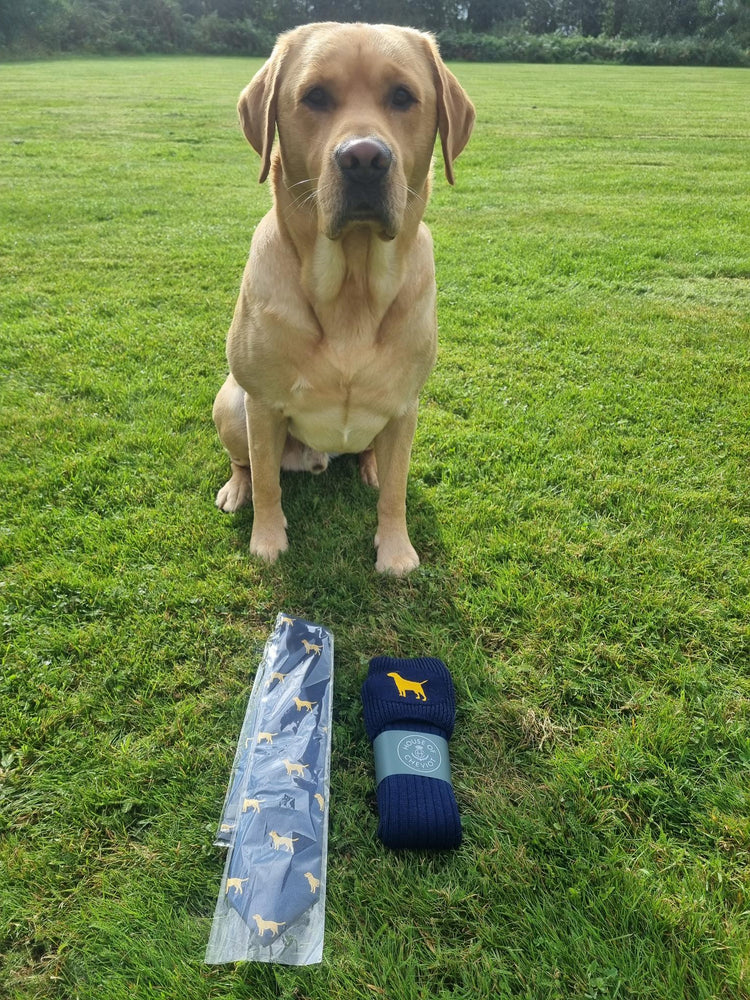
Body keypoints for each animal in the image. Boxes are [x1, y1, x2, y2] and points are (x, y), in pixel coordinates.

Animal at [212, 19, 472, 576]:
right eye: (315, 96)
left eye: (402, 96)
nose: (364, 159)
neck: (352, 285)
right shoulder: (262, 406)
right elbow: (268, 484)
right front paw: (268, 540)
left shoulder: (405, 408)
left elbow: (396, 493)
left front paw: (395, 549)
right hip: (232, 403)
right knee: (248, 464)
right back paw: (236, 489)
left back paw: (369, 467)